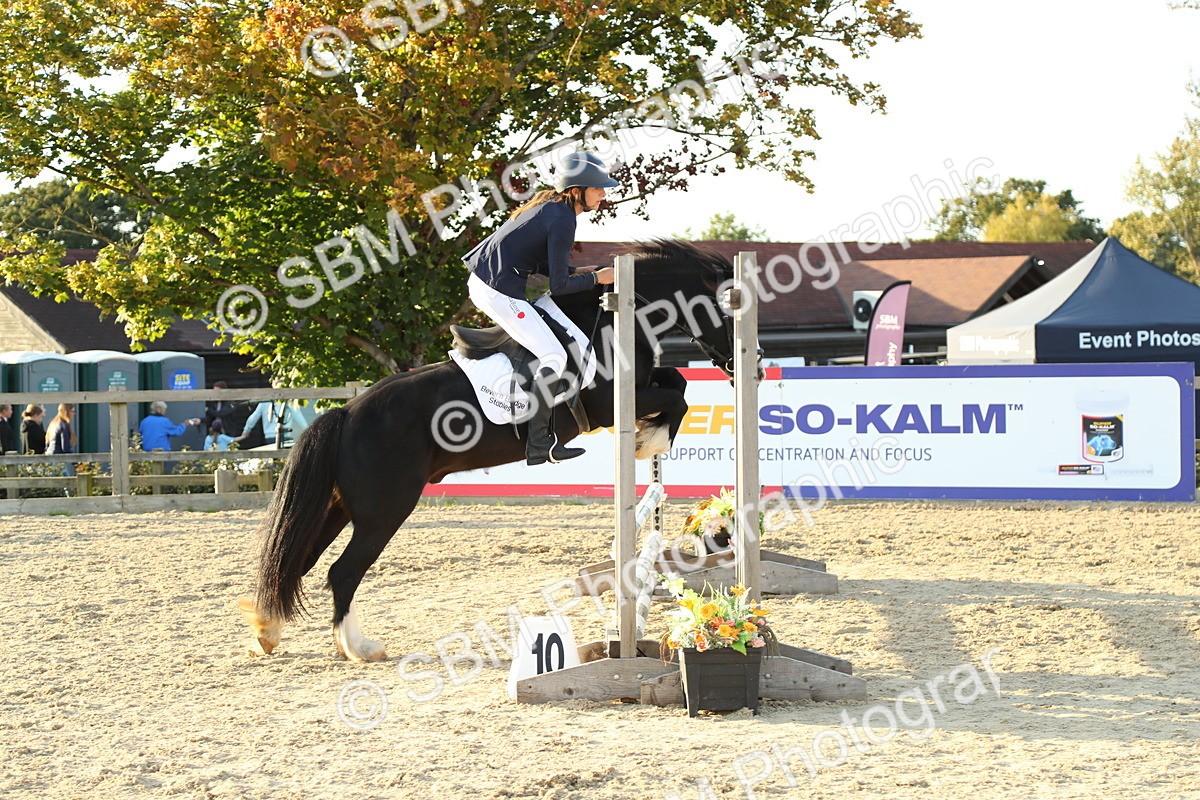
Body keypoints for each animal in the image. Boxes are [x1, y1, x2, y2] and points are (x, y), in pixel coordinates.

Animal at [240, 239, 738, 661]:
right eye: (731, 310)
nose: (740, 365)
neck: (619, 317)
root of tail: (345, 414)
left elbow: (677, 384)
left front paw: (649, 436)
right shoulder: (608, 403)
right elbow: (676, 396)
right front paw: (647, 441)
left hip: (340, 507)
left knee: (299, 561)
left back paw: (268, 631)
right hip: (384, 511)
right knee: (342, 572)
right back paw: (359, 647)